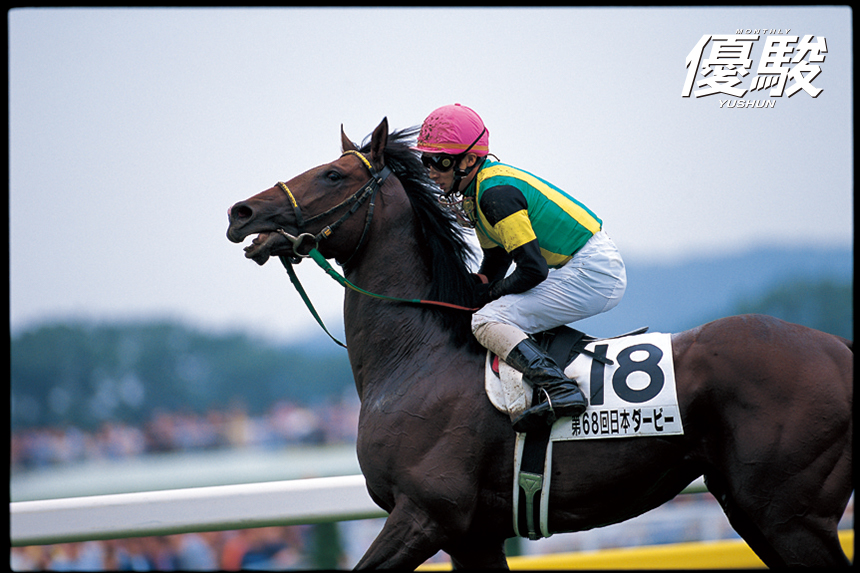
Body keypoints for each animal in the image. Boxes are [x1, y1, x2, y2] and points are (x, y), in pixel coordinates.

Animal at [226, 118, 853, 569]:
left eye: (333, 175)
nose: (241, 211)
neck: (415, 361)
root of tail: (840, 350)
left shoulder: (424, 515)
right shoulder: (473, 537)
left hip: (786, 514)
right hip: (759, 511)